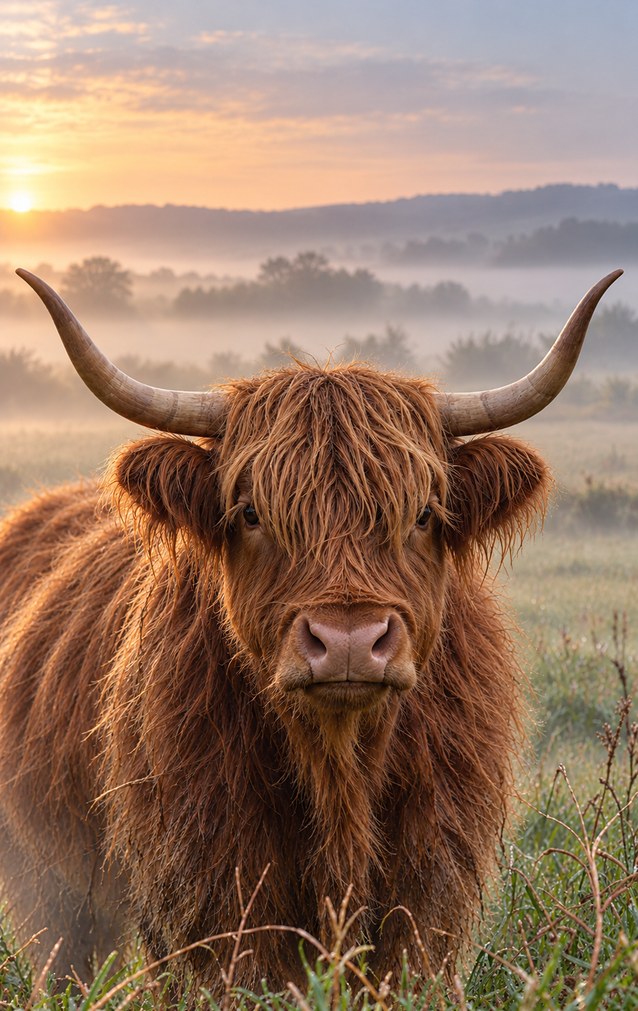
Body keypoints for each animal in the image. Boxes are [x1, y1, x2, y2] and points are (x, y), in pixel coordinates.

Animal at [0, 268, 622, 991]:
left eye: (423, 513)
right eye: (249, 512)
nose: (349, 642)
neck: (338, 770)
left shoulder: (429, 881)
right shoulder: (208, 885)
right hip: (50, 886)